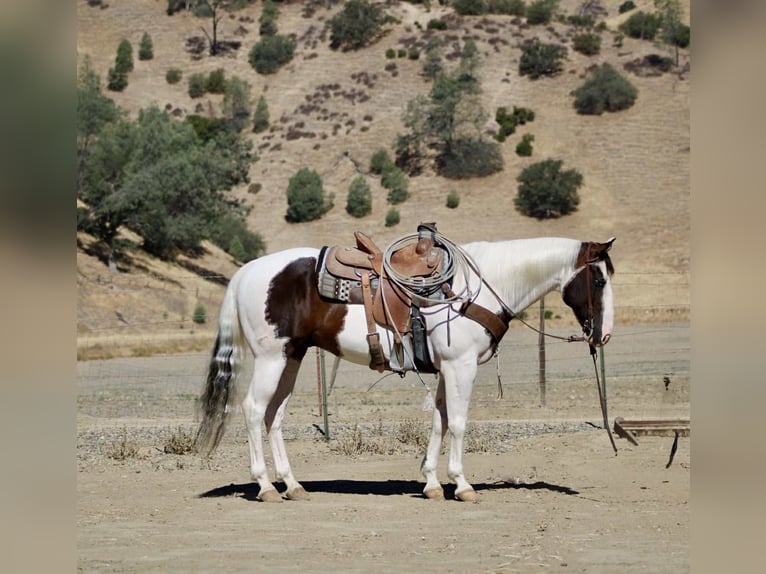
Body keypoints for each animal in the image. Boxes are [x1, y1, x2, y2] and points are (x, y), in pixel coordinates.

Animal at [195, 234, 616, 502]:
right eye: (597, 279)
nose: (605, 334)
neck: (476, 288)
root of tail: (245, 271)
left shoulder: (446, 369)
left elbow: (439, 421)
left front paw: (431, 483)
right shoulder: (461, 366)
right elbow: (457, 423)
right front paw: (461, 485)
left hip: (291, 358)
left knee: (274, 416)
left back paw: (292, 485)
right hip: (272, 359)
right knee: (253, 411)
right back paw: (266, 487)